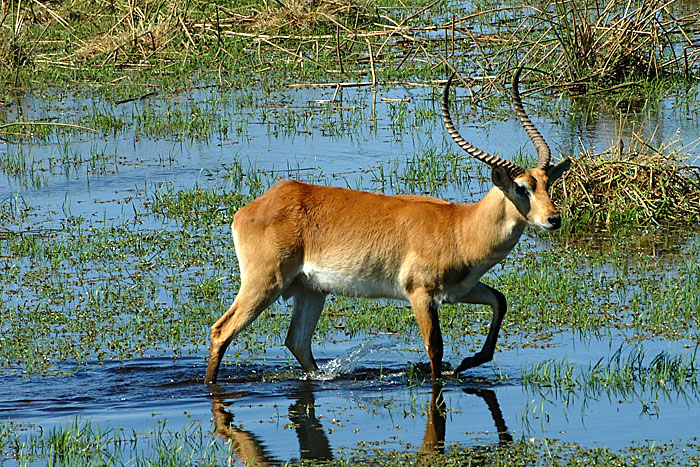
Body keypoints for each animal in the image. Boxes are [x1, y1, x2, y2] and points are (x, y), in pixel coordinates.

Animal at [202, 66, 568, 388]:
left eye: (547, 182)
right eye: (521, 188)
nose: (554, 219)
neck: (460, 227)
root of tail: (255, 207)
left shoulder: (461, 290)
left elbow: (500, 301)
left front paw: (467, 362)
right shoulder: (421, 294)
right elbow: (435, 348)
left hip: (310, 290)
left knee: (297, 342)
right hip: (266, 282)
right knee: (222, 330)